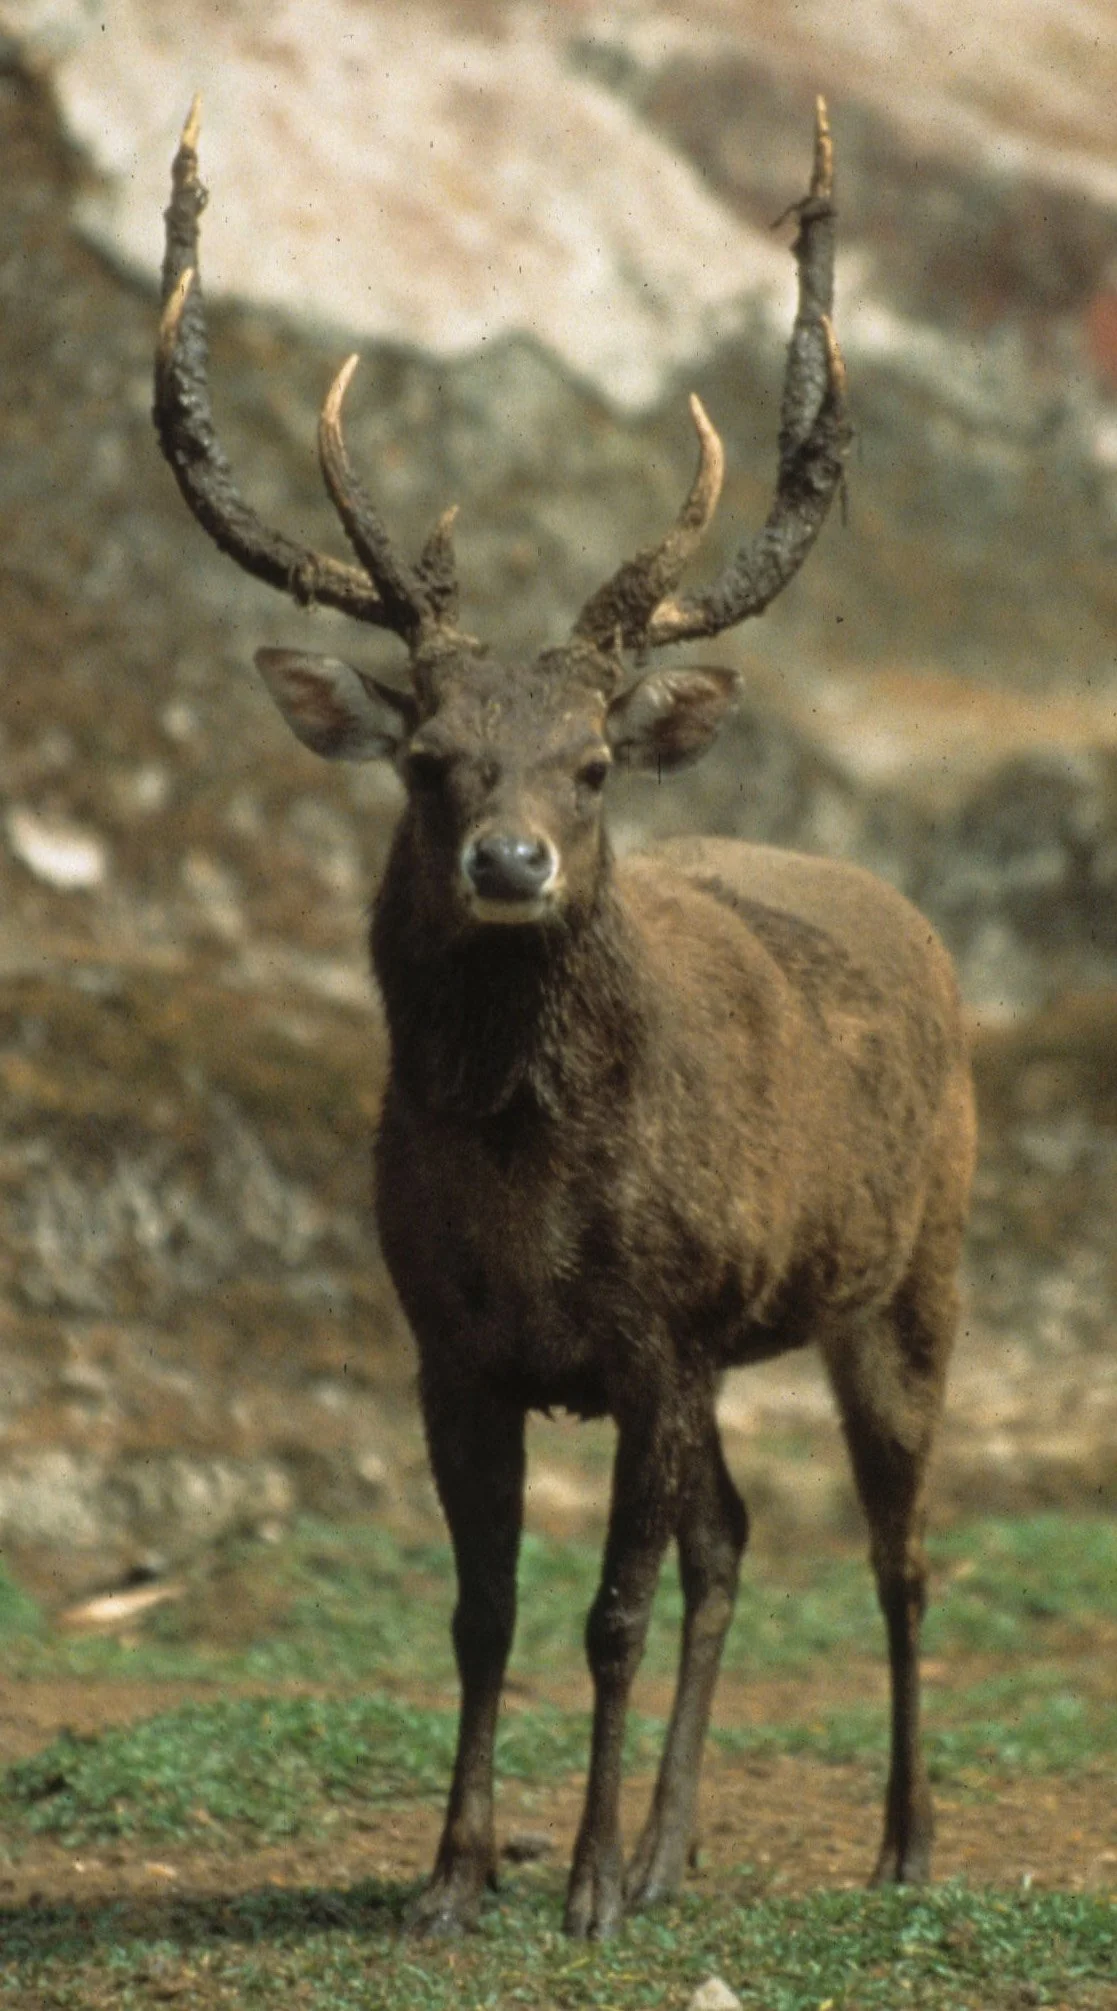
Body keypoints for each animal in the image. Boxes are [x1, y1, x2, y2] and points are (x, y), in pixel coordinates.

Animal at [154, 98, 975, 1940]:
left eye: (590, 763)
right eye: (424, 754)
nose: (510, 861)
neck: (532, 1205)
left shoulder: (660, 1331)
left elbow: (605, 1612)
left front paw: (582, 1883)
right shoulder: (449, 1342)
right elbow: (484, 1612)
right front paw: (453, 1877)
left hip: (915, 1275)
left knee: (897, 1549)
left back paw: (897, 1841)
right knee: (734, 1538)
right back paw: (680, 1848)